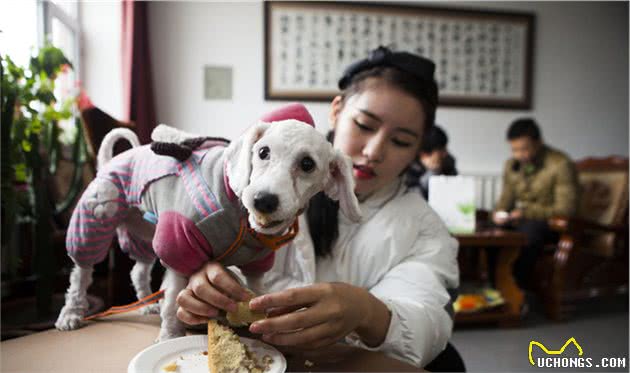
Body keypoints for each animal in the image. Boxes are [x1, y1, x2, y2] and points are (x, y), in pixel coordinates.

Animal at [56, 105, 362, 340]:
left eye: (308, 164)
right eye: (263, 152)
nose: (263, 200)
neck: (240, 217)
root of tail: (111, 160)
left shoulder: (258, 263)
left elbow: (257, 288)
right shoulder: (178, 247)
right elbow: (173, 301)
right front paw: (170, 337)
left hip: (143, 234)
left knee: (138, 270)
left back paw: (146, 304)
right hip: (96, 217)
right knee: (81, 273)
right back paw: (71, 313)